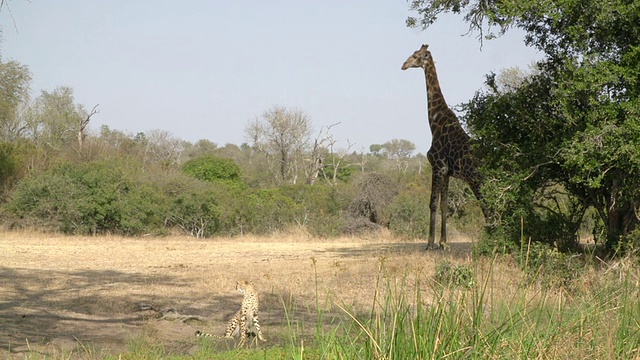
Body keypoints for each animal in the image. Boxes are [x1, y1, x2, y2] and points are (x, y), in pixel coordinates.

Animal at [400, 43, 490, 249]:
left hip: (476, 180)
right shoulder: (447, 171)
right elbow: (444, 204)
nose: (403, 65)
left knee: (487, 204)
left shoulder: (438, 166)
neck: (434, 122)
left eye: (416, 55)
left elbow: (432, 203)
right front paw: (443, 242)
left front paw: (429, 244)